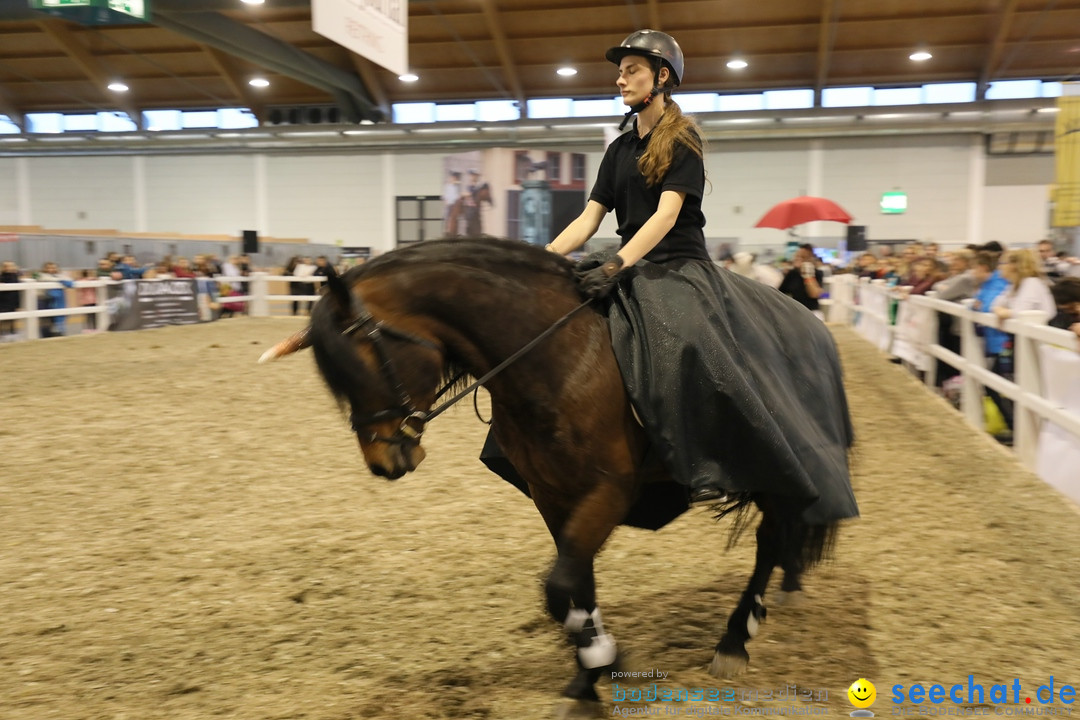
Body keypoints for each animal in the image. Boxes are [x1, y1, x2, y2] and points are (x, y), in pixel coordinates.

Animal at [261, 239, 842, 699]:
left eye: (361, 365)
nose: (384, 463)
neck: (556, 357)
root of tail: (806, 318)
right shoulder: (552, 493)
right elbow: (575, 580)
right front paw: (592, 668)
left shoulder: (609, 490)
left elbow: (559, 585)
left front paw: (603, 658)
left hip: (771, 467)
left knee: (771, 539)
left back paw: (736, 640)